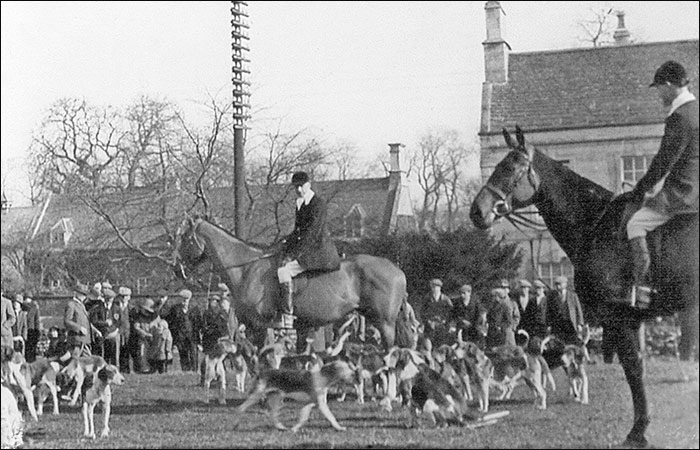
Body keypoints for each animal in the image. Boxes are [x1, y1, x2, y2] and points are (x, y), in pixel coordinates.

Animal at [174, 216, 404, 350]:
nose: (177, 269)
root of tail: (397, 270)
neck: (246, 268)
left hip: (384, 322)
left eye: (185, 238)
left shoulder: (261, 324)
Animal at [470, 125, 700, 446]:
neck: (594, 223)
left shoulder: (620, 318)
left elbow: (634, 370)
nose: (477, 212)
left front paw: (638, 431)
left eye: (512, 167)